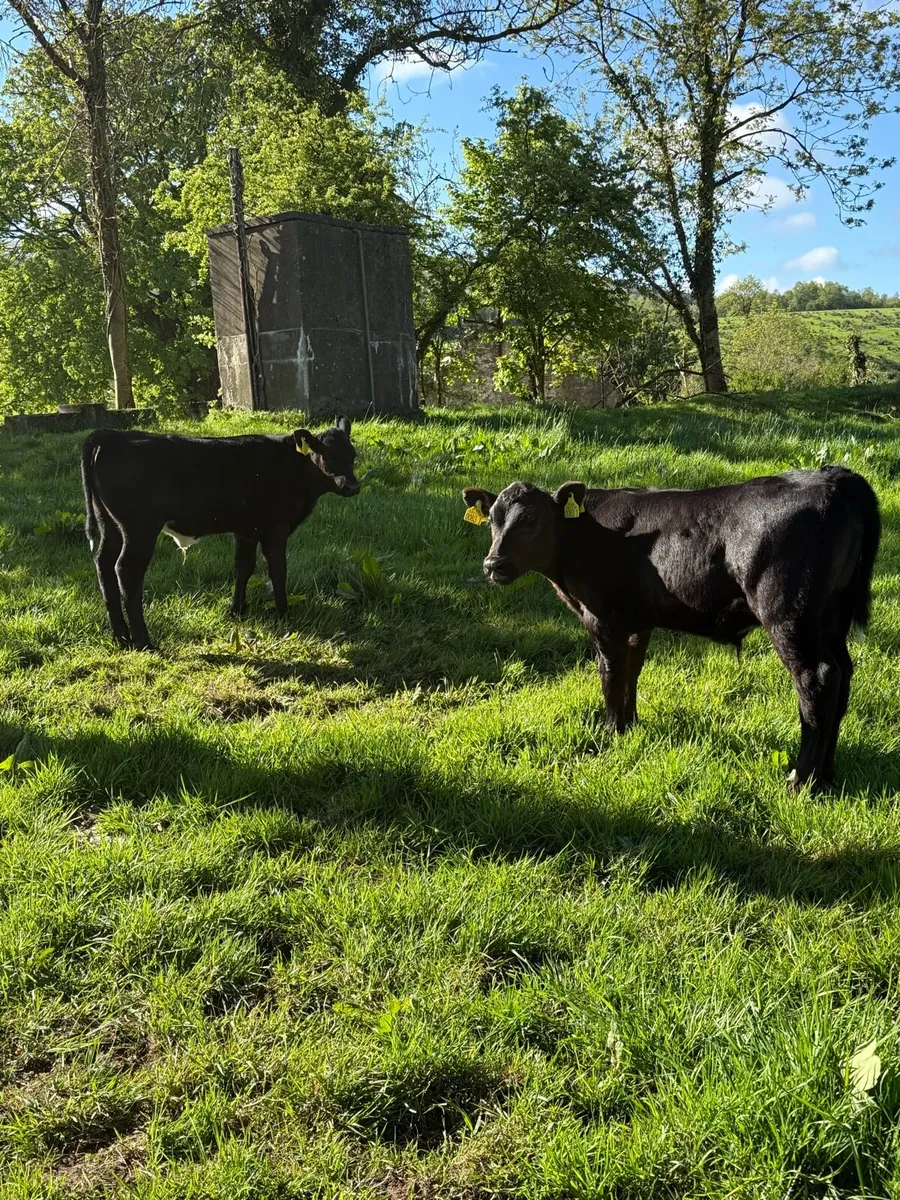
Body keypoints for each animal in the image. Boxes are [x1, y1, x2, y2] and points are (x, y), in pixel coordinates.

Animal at [82, 418, 359, 650]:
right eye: (328, 455)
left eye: (353, 456)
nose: (353, 486)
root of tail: (111, 435)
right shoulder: (276, 528)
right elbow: (278, 571)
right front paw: (284, 615)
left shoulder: (247, 530)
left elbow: (243, 567)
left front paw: (237, 611)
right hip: (139, 529)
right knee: (126, 571)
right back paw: (143, 642)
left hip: (110, 525)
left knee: (103, 564)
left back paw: (120, 637)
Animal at [462, 467, 881, 792]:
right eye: (493, 520)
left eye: (531, 521)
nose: (493, 564)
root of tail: (830, 477)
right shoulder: (636, 622)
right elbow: (631, 672)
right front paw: (629, 728)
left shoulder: (602, 618)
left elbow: (609, 673)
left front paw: (610, 733)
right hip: (831, 617)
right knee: (842, 675)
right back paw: (827, 775)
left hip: (789, 615)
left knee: (817, 680)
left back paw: (802, 781)